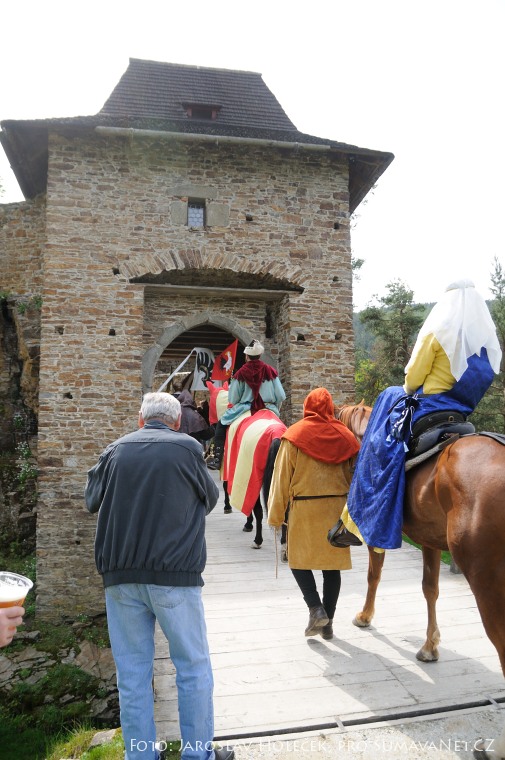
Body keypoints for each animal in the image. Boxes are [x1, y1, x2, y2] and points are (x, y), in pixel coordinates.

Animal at [336, 401, 505, 759]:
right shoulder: (430, 541)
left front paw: (364, 616)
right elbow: (430, 589)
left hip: (488, 585)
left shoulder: (377, 533)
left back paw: (495, 746)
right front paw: (429, 647)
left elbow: (374, 575)